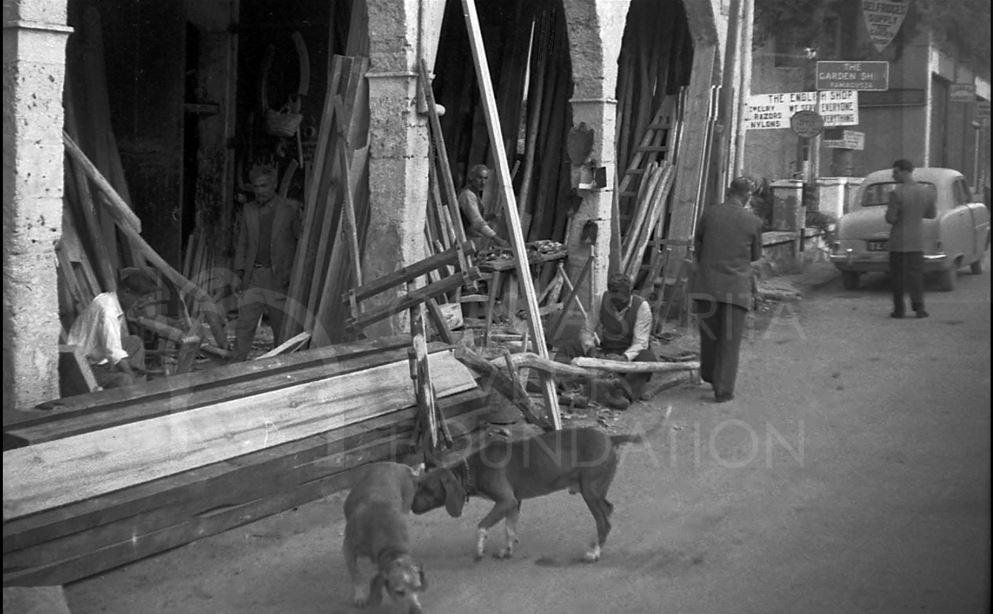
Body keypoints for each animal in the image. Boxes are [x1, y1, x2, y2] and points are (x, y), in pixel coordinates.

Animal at [342, 464, 424, 612]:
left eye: (417, 587)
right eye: (399, 592)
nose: (417, 611)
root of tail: (402, 466)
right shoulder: (348, 548)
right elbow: (356, 574)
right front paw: (360, 596)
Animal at [408, 428, 652, 564]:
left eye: (427, 488)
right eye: (418, 485)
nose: (410, 507)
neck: (472, 469)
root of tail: (610, 438)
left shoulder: (505, 500)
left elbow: (481, 525)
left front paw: (478, 550)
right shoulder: (514, 503)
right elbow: (509, 529)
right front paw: (507, 550)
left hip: (590, 493)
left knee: (604, 522)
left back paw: (594, 553)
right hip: (595, 491)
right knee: (609, 510)